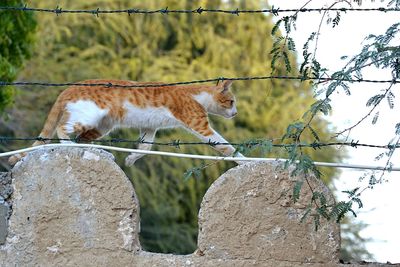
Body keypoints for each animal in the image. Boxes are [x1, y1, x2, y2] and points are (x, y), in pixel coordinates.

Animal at [8, 78, 244, 166]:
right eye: (232, 102)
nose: (235, 113)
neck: (196, 93)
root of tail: (70, 87)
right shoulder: (199, 124)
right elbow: (225, 146)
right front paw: (243, 160)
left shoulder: (149, 128)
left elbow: (145, 148)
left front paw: (131, 158)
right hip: (90, 115)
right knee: (61, 127)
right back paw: (68, 144)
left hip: (102, 125)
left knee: (82, 137)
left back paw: (94, 150)